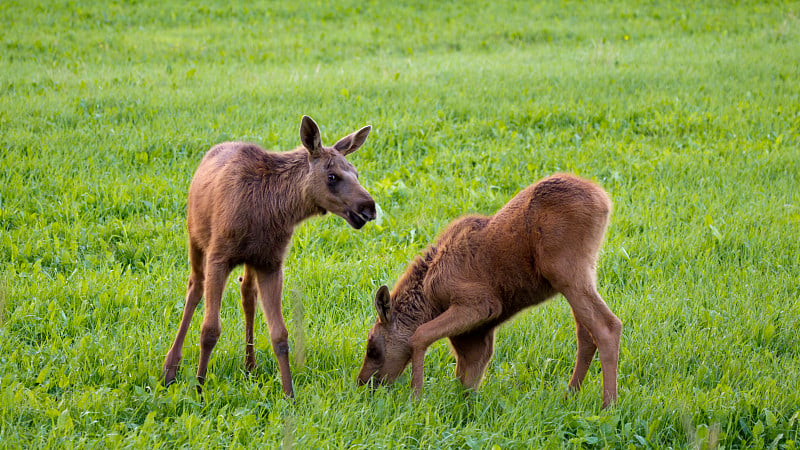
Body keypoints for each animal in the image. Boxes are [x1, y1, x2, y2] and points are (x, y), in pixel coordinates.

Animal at [162, 116, 378, 398]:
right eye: (332, 176)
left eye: (357, 173)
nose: (369, 208)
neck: (274, 209)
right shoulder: (219, 257)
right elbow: (210, 330)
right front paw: (199, 387)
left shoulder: (271, 263)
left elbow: (280, 335)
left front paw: (289, 395)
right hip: (196, 240)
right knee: (194, 288)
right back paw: (170, 369)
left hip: (250, 261)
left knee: (247, 293)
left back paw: (250, 365)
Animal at [358, 173, 624, 408]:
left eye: (373, 349)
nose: (364, 384)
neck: (429, 297)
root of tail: (604, 201)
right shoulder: (478, 334)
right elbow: (467, 377)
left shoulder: (481, 304)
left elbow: (419, 335)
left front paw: (416, 397)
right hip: (584, 273)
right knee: (586, 334)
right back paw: (570, 395)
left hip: (566, 272)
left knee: (607, 326)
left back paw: (608, 406)